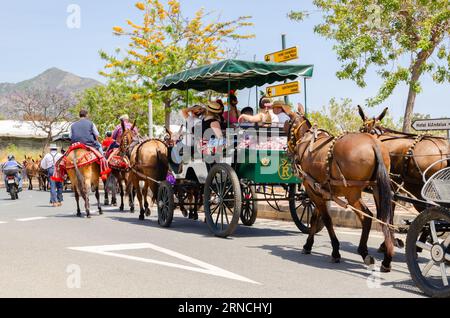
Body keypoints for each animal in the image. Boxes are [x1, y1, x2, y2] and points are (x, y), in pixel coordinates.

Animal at [286, 105, 396, 272]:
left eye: (287, 124)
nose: (286, 148)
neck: (306, 142)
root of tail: (373, 144)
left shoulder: (311, 189)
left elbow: (326, 219)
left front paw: (335, 251)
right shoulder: (320, 190)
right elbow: (315, 217)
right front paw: (308, 245)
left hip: (352, 193)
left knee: (367, 216)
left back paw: (363, 251)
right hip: (378, 187)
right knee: (385, 217)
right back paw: (387, 258)